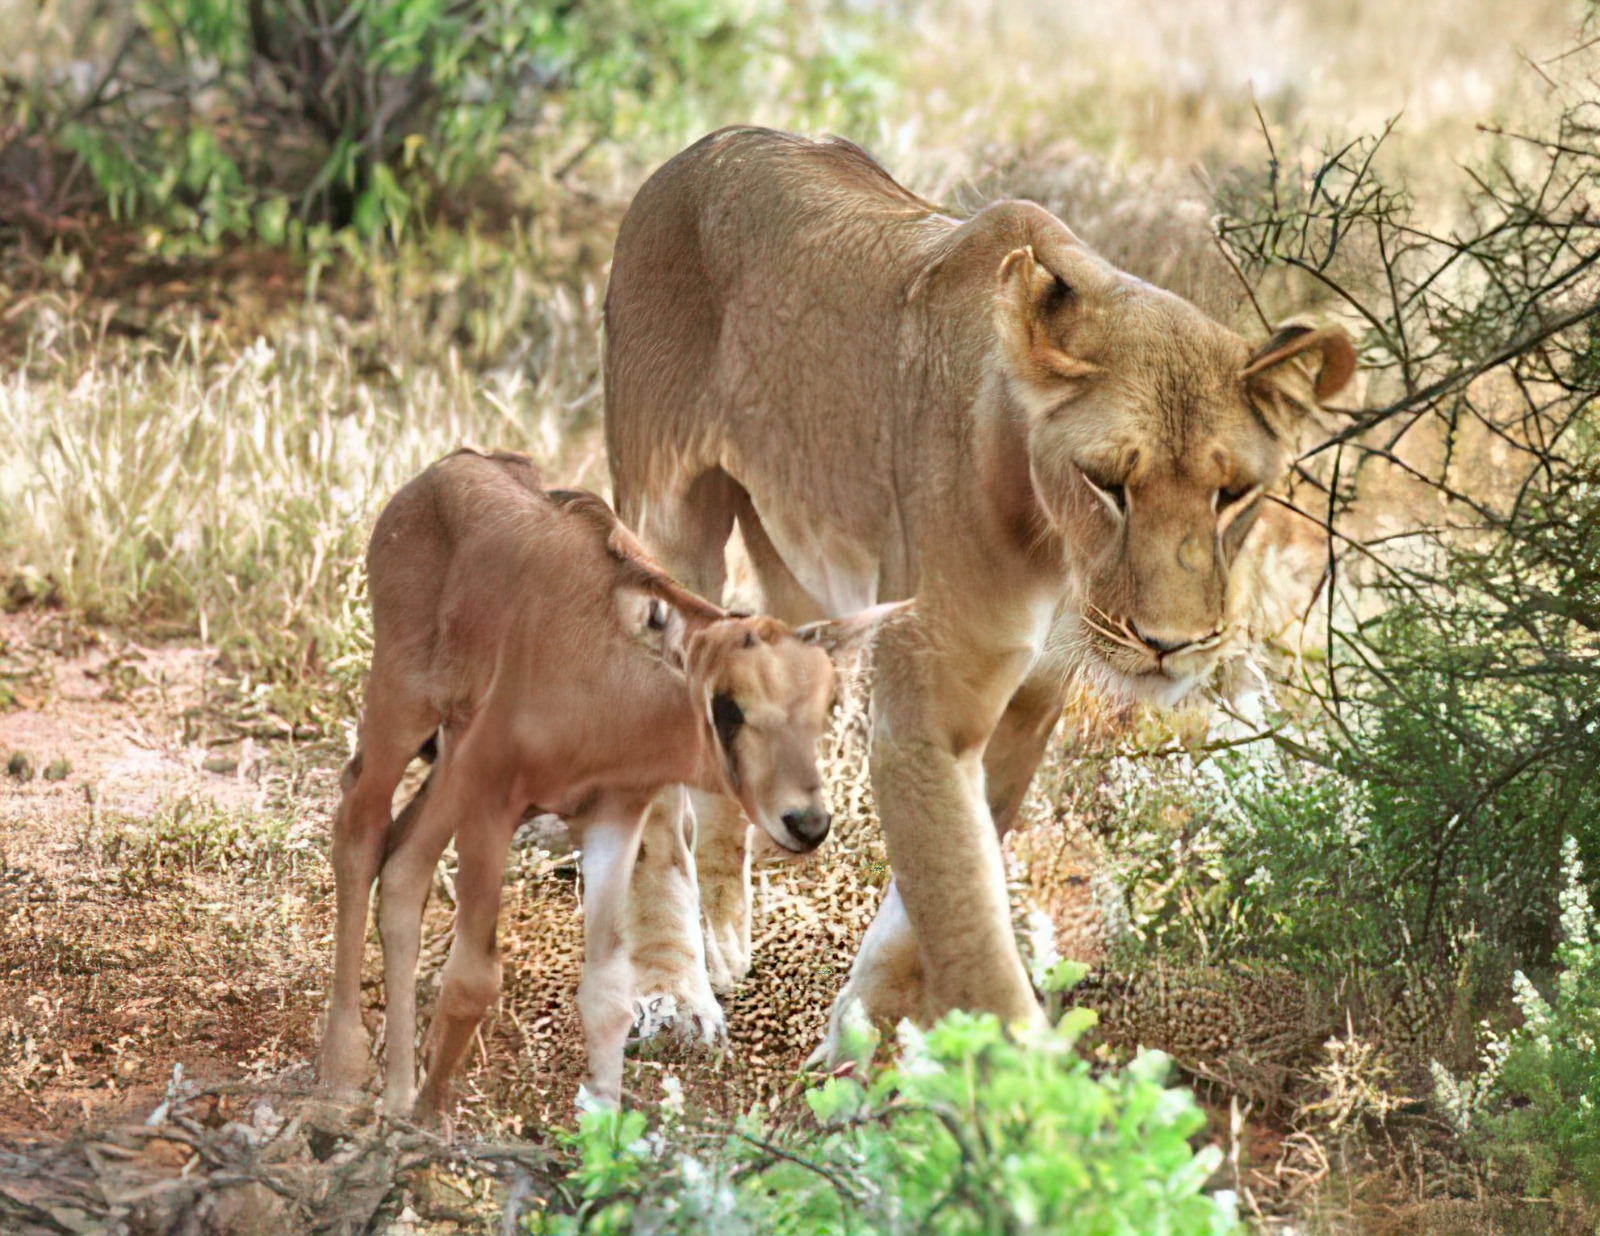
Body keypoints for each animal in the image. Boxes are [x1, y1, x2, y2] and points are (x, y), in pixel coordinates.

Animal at [320, 448, 876, 1114]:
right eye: (730, 707)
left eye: (822, 706)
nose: (807, 823)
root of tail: (448, 468)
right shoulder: (492, 800)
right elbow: (476, 975)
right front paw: (427, 1117)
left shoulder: (608, 819)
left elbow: (605, 991)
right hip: (402, 703)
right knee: (361, 822)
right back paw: (344, 1068)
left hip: (450, 754)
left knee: (403, 857)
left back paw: (397, 1087)